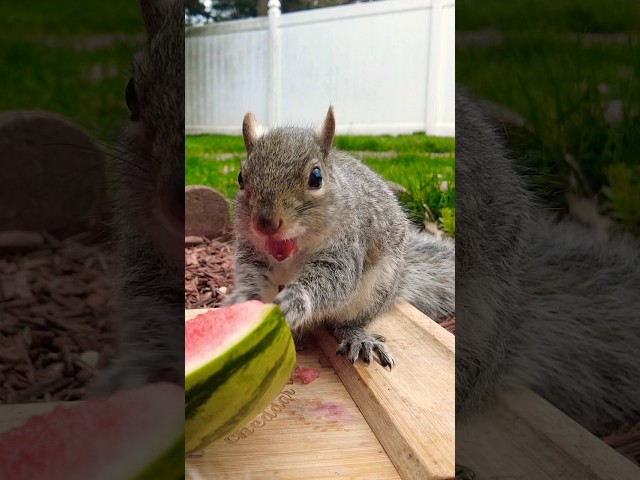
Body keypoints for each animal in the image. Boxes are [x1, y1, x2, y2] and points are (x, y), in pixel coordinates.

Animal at [224, 108, 456, 368]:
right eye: (240, 177)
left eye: (316, 177)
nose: (265, 224)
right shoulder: (251, 251)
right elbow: (251, 273)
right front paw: (240, 299)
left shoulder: (345, 246)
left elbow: (334, 278)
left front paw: (296, 298)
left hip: (375, 291)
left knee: (351, 322)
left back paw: (357, 337)